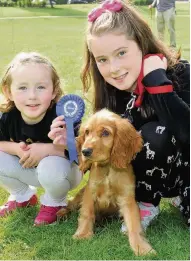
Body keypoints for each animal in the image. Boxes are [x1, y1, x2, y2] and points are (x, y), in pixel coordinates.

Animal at [57, 108, 155, 255]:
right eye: (87, 132)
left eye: (105, 133)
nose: (85, 151)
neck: (107, 168)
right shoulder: (90, 191)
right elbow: (86, 213)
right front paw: (83, 235)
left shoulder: (127, 198)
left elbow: (134, 224)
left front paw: (141, 248)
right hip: (79, 195)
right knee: (70, 204)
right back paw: (61, 213)